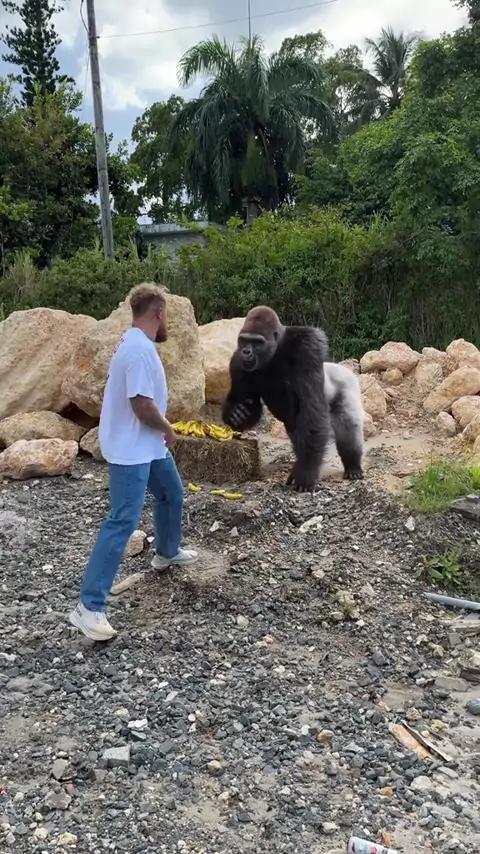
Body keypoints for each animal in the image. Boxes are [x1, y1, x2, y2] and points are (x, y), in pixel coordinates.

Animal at [221, 306, 364, 492]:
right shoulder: (237, 362)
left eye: (257, 342)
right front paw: (236, 411)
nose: (246, 351)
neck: (276, 350)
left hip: (348, 383)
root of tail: (344, 368)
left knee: (347, 426)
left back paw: (352, 465)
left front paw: (306, 471)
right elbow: (246, 404)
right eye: (244, 340)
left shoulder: (307, 347)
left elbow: (311, 410)